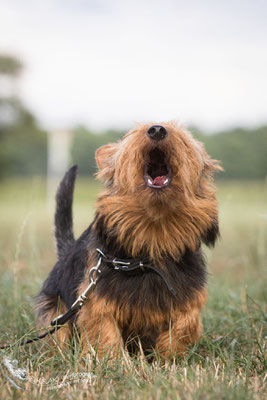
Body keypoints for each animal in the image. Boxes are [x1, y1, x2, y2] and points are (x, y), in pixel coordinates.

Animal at [35, 122, 222, 360]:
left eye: (183, 139)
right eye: (136, 133)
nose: (157, 130)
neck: (154, 235)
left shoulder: (189, 294)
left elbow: (186, 323)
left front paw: (168, 357)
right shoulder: (97, 298)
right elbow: (106, 333)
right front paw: (113, 362)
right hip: (56, 310)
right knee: (57, 332)